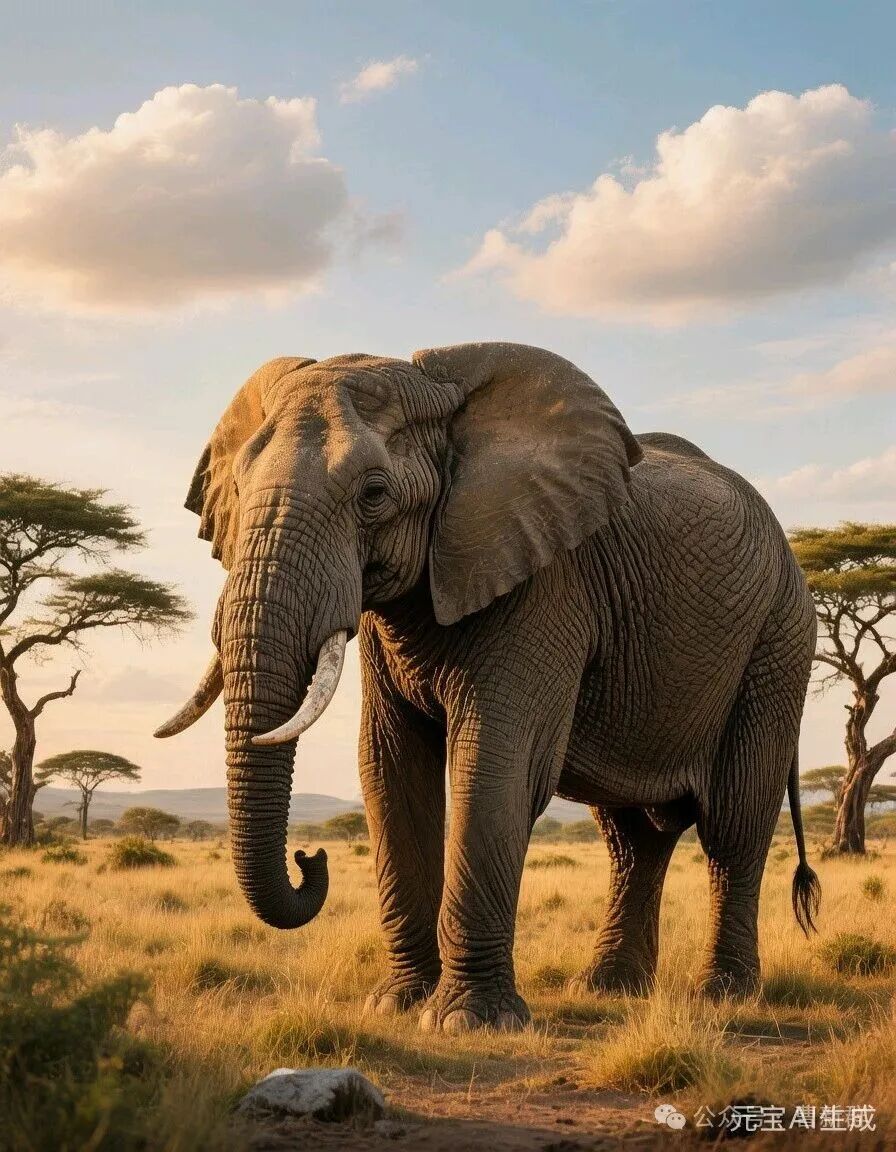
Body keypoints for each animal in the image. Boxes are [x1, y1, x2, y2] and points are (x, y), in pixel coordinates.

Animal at [156, 342, 820, 1033]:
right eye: (236, 490)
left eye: (374, 493)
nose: (310, 859)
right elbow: (389, 768)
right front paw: (397, 1004)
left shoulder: (546, 587)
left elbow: (496, 764)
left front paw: (468, 1021)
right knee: (633, 837)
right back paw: (608, 989)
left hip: (779, 639)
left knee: (734, 821)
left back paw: (724, 995)